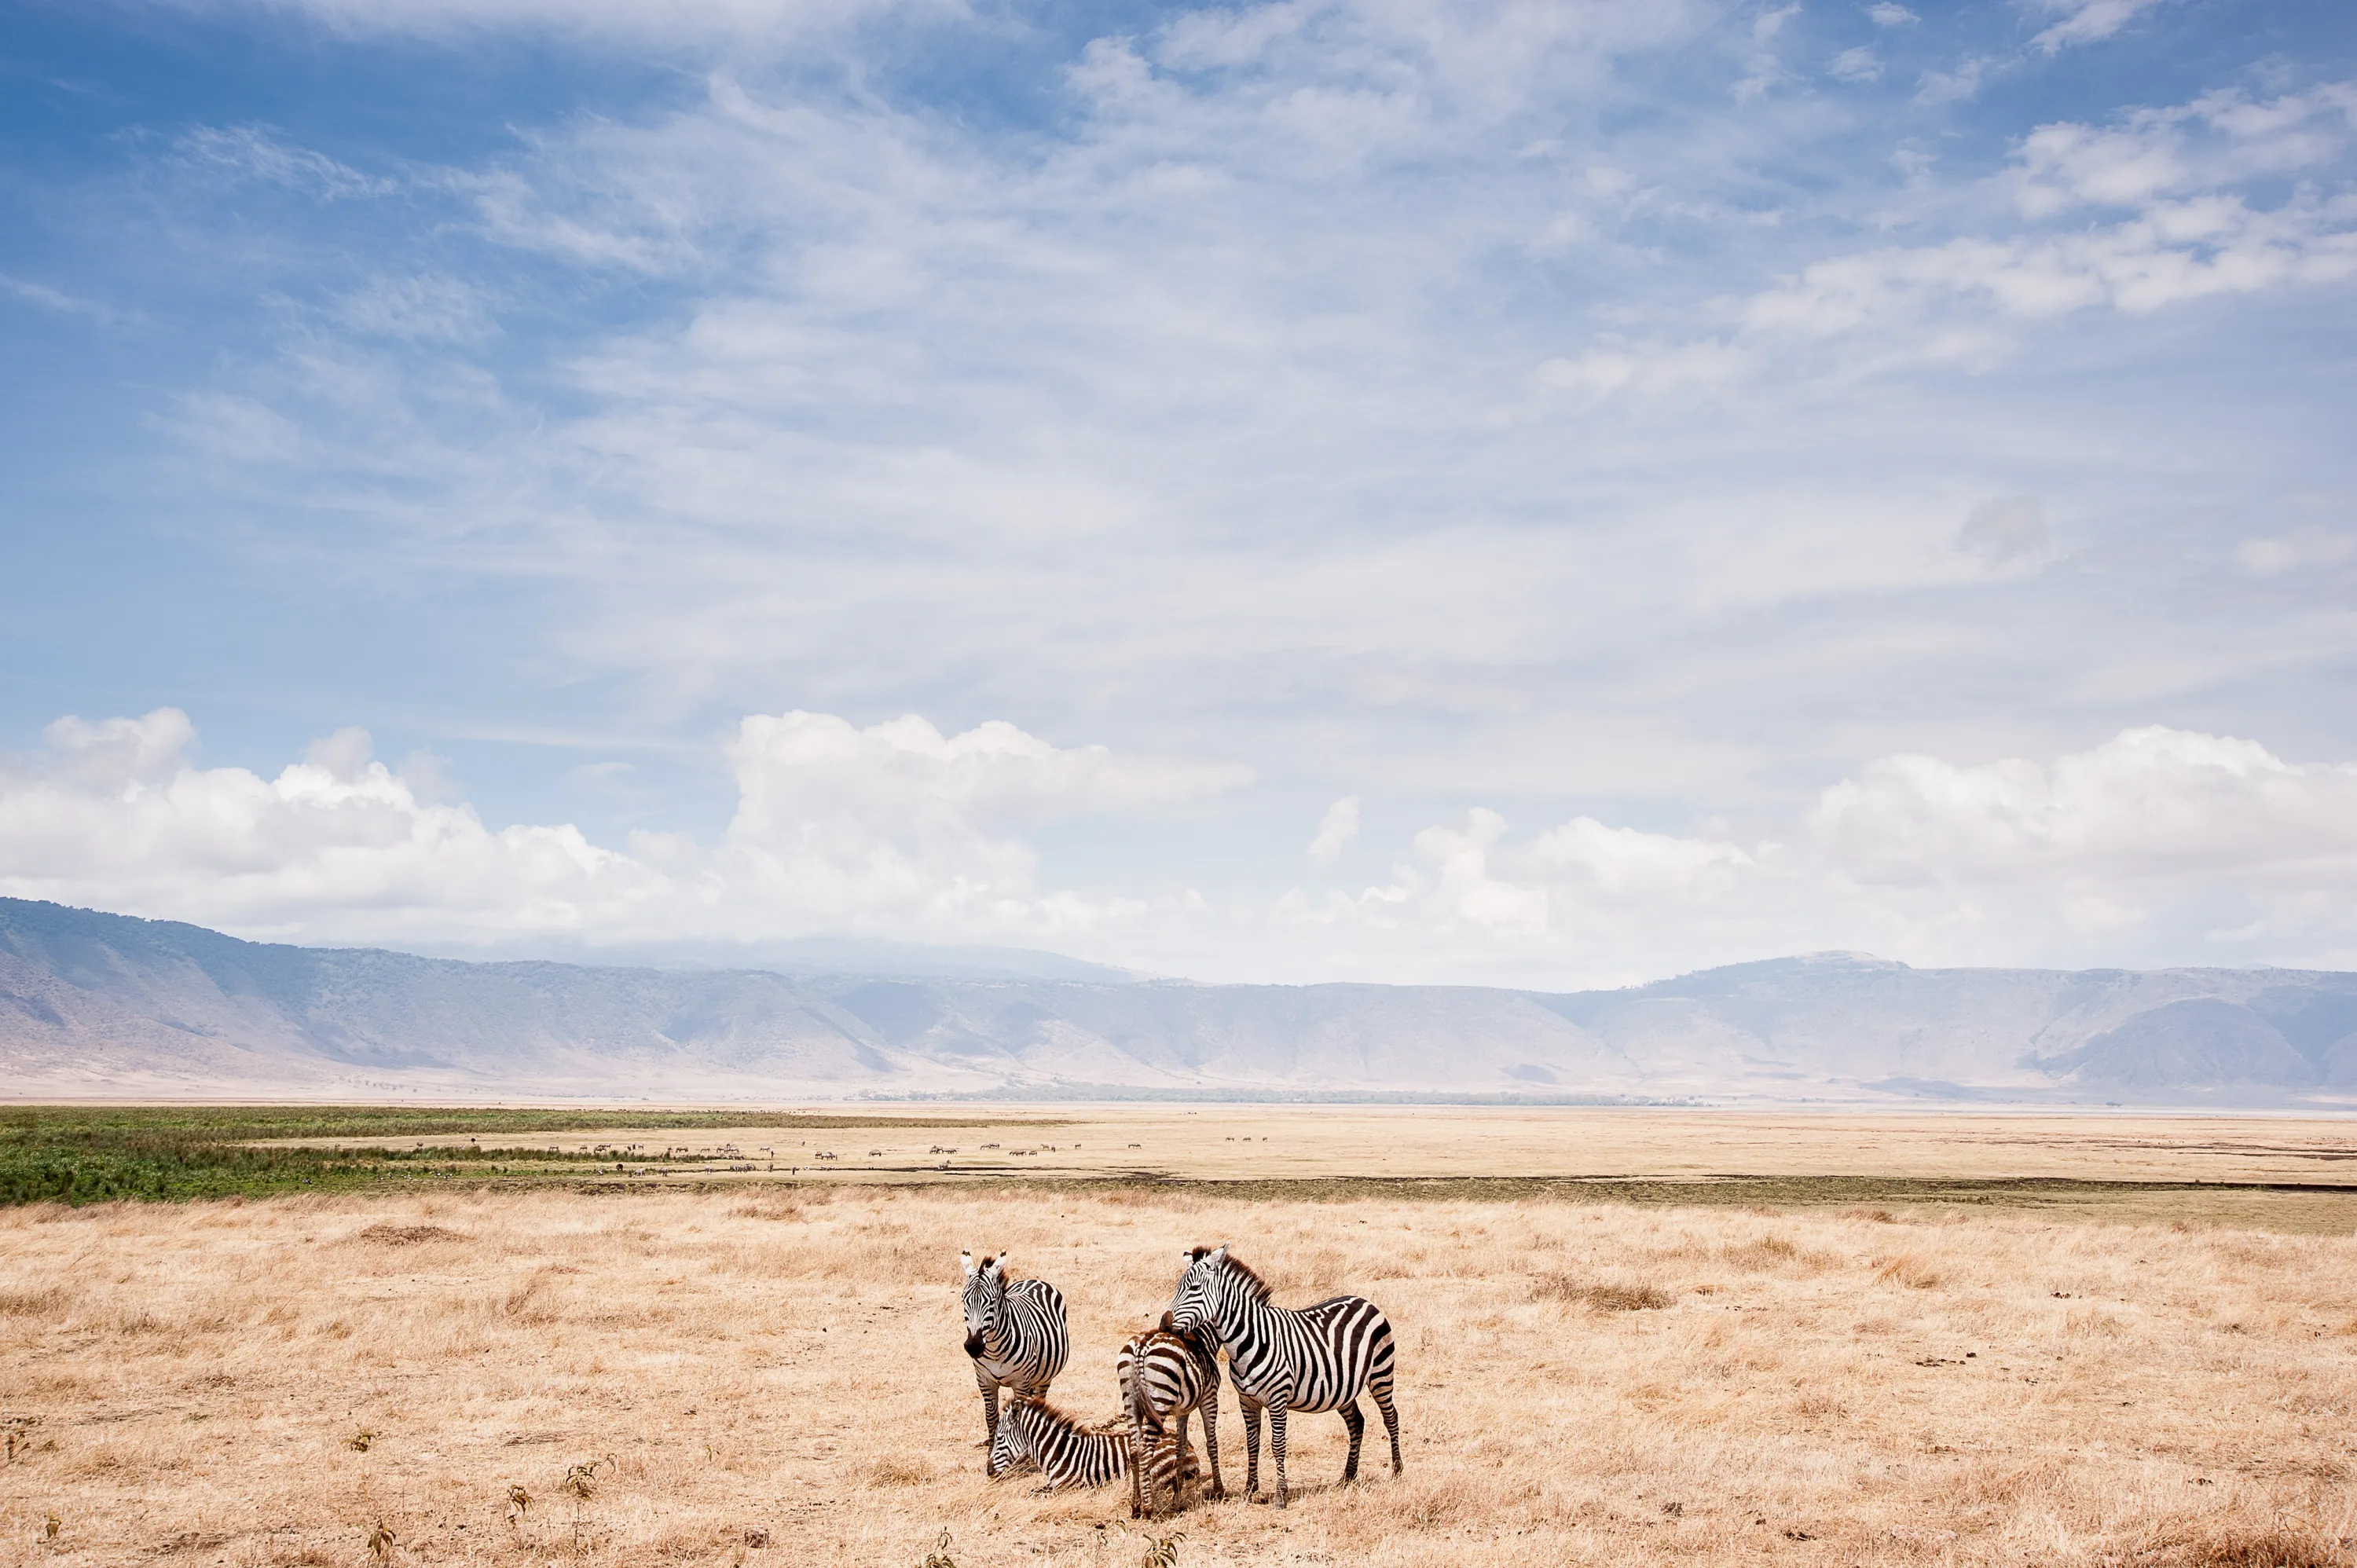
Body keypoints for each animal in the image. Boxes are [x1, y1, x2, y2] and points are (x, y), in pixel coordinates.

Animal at [957, 1244, 1070, 1471]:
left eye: (992, 1302)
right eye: (964, 1300)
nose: (973, 1347)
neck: (994, 1348)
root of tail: (1035, 1281)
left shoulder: (1021, 1382)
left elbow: (1021, 1419)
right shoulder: (984, 1380)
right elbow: (991, 1417)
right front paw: (990, 1450)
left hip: (1044, 1377)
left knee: (1039, 1399)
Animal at [1122, 1310, 1235, 1518]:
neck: (1203, 1338)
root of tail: (1142, 1346)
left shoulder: (1182, 1410)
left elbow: (1180, 1447)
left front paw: (1178, 1498)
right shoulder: (1209, 1396)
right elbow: (1211, 1443)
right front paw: (1219, 1490)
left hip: (1130, 1401)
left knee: (1134, 1451)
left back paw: (1136, 1507)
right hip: (1159, 1400)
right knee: (1146, 1450)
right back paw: (1148, 1509)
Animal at [1164, 1244, 1395, 1508]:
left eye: (1194, 1289)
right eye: (1177, 1288)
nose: (1165, 1326)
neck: (1248, 1341)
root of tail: (1363, 1300)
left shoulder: (1278, 1400)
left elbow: (1277, 1446)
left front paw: (1280, 1496)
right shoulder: (1247, 1401)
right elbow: (1252, 1444)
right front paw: (1250, 1489)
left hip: (1381, 1374)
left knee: (1391, 1417)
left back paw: (1397, 1471)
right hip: (1343, 1388)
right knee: (1357, 1422)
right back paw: (1348, 1476)